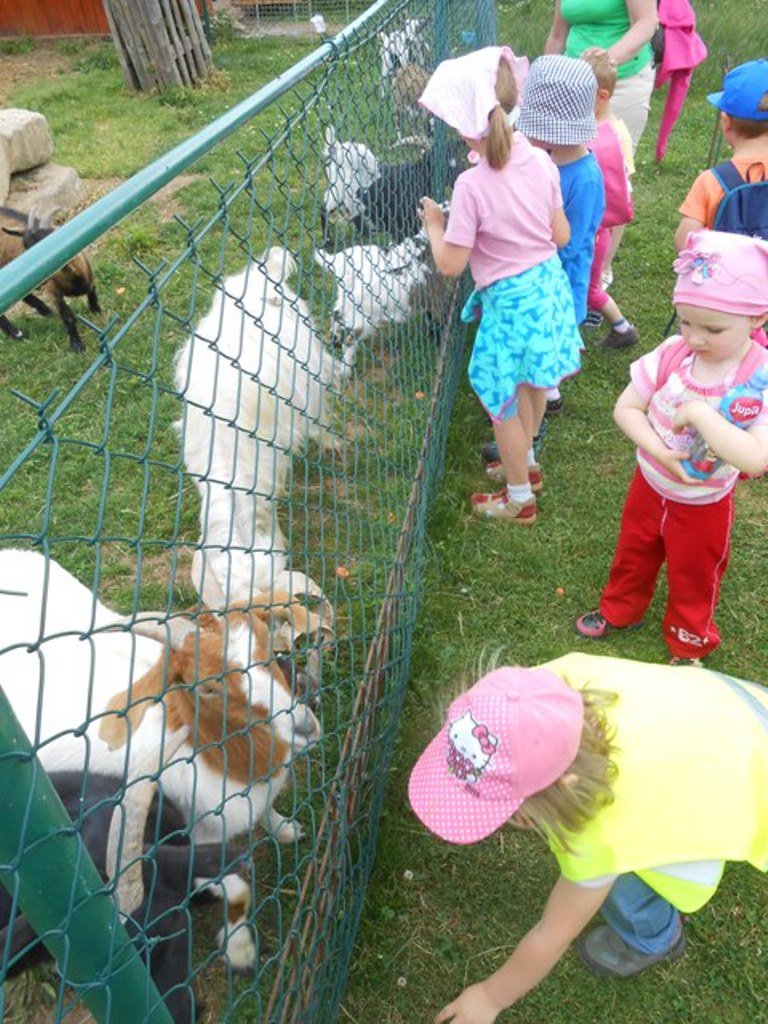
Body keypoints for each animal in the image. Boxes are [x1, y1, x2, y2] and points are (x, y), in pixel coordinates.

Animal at [0, 206, 100, 352]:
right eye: (26, 247)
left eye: (52, 239)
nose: (36, 273)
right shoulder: (54, 292)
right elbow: (68, 317)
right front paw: (76, 345)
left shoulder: (88, 274)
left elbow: (92, 291)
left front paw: (96, 311)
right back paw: (18, 334)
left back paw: (46, 312)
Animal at [0, 548, 324, 972]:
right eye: (207, 687)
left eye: (270, 649)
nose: (305, 726)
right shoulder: (197, 838)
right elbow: (236, 887)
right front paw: (239, 949)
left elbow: (267, 811)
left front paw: (286, 829)